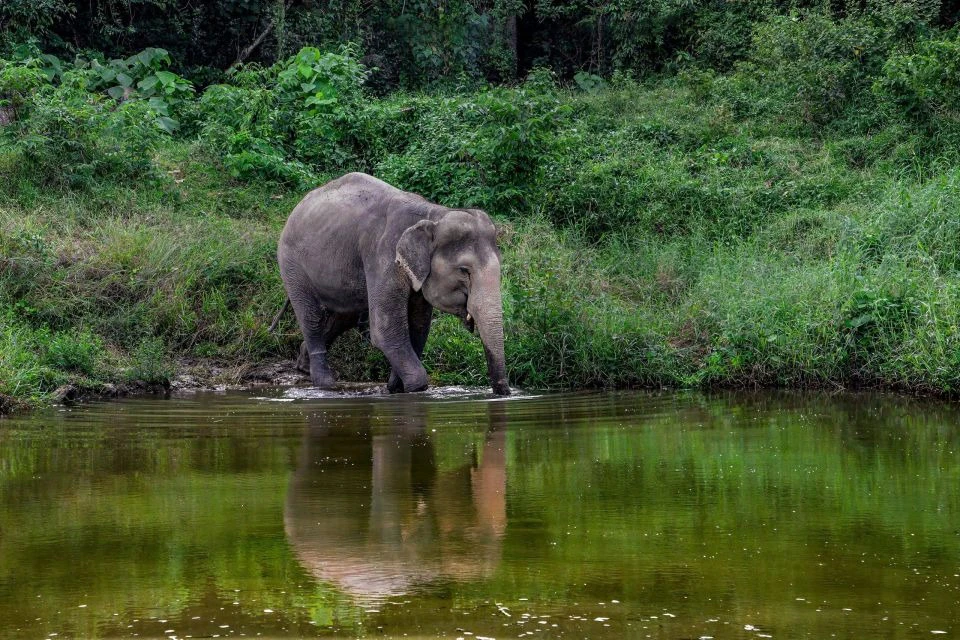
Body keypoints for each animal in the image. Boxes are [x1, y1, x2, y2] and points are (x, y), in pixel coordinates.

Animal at [277, 172, 510, 395]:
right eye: (464, 270)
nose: (503, 392)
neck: (433, 214)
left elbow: (419, 328)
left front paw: (395, 387)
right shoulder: (384, 258)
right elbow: (384, 330)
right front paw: (414, 387)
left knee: (345, 316)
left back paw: (303, 365)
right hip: (291, 264)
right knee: (311, 316)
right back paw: (324, 383)